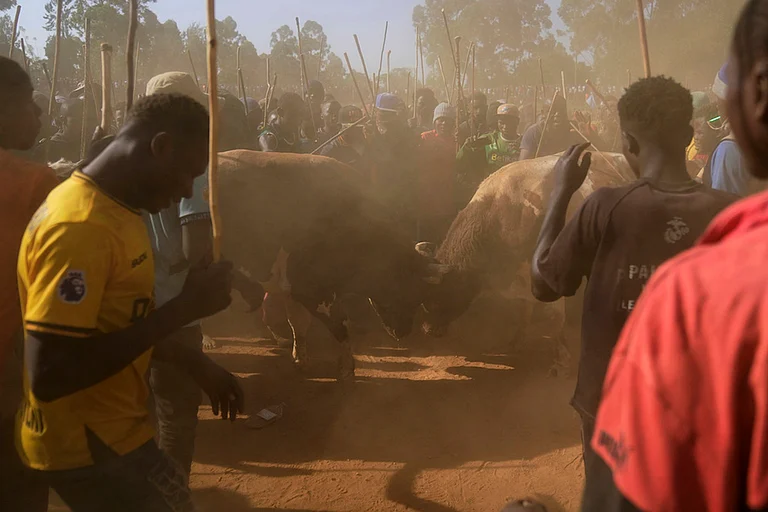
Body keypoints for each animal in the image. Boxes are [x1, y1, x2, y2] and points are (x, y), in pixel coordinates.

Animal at [216, 150, 446, 381]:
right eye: (410, 291)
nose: (404, 331)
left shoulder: (294, 289)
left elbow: (298, 323)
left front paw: (301, 360)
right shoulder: (314, 290)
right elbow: (339, 325)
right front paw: (346, 367)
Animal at [416, 152, 636, 373]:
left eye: (438, 295)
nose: (428, 329)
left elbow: (556, 318)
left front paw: (561, 358)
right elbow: (524, 311)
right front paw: (516, 342)